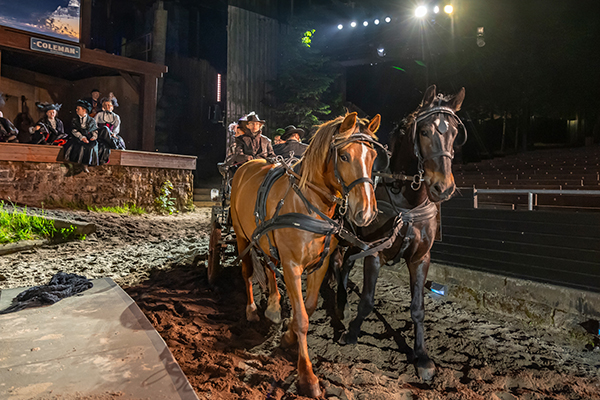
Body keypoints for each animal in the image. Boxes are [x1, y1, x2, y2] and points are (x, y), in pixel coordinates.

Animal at [232, 112, 382, 396]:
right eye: (344, 156)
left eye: (373, 156)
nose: (366, 213)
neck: (308, 204)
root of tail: (248, 165)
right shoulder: (292, 265)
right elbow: (302, 317)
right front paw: (307, 377)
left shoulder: (320, 264)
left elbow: (309, 307)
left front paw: (287, 335)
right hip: (241, 235)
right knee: (246, 271)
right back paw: (251, 309)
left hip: (265, 240)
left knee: (269, 266)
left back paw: (273, 305)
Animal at [336, 85, 466, 382]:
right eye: (424, 131)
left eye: (454, 132)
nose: (443, 187)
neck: (408, 203)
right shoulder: (376, 254)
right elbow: (368, 301)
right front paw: (352, 333)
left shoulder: (420, 258)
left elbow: (418, 309)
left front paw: (422, 357)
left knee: (346, 262)